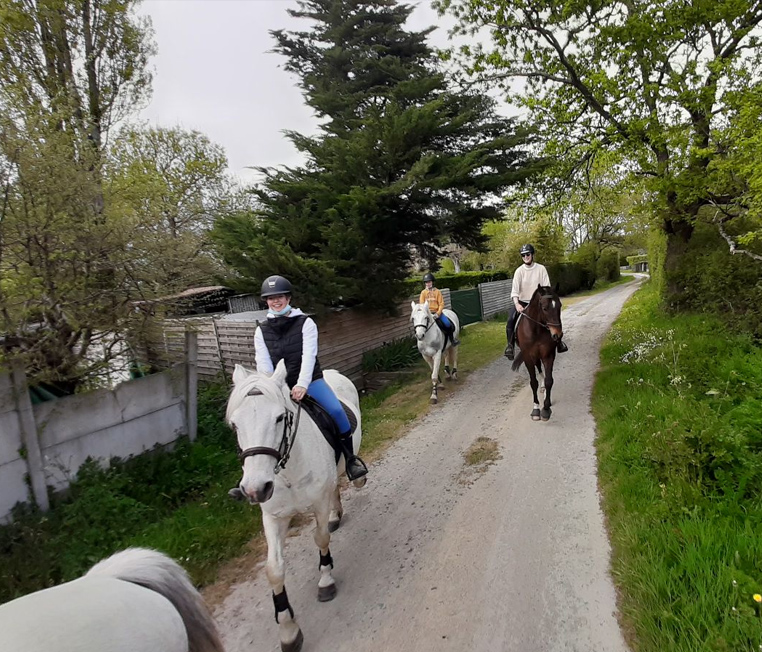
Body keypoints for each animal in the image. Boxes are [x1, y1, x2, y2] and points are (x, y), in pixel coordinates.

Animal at [226, 362, 362, 652]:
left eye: (279, 418)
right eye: (235, 425)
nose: (255, 489)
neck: (288, 470)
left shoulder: (319, 504)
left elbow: (321, 539)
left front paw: (325, 581)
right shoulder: (272, 517)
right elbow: (274, 570)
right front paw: (288, 630)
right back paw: (336, 515)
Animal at [508, 282, 560, 420]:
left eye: (560, 305)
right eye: (545, 308)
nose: (557, 335)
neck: (536, 329)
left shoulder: (548, 354)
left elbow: (549, 381)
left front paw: (546, 408)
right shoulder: (528, 356)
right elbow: (533, 382)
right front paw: (536, 409)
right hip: (533, 356)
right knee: (538, 367)